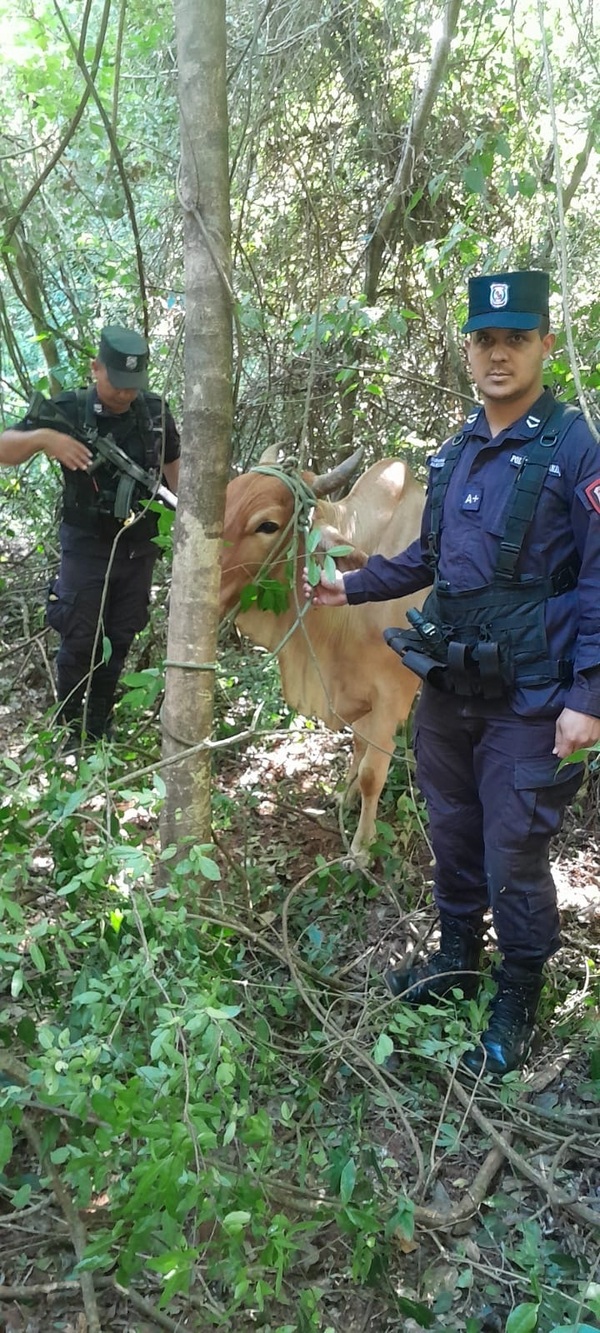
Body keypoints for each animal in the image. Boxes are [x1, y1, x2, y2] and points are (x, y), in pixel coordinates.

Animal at [219, 452, 427, 865]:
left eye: (267, 525)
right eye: (227, 498)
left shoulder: (390, 695)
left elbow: (372, 772)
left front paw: (361, 849)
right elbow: (359, 748)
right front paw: (345, 796)